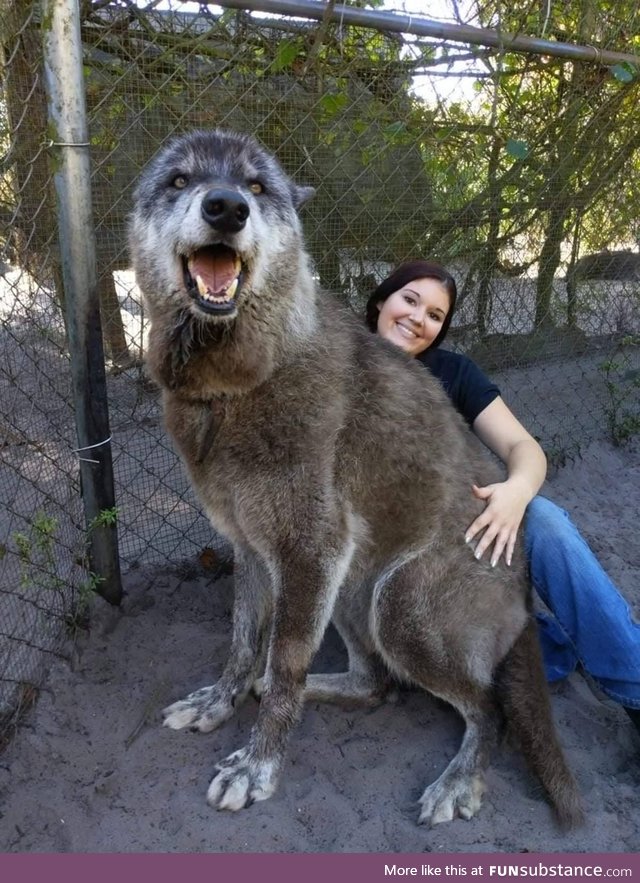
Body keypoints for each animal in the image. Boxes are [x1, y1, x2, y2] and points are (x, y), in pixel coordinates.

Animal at [127, 131, 584, 828]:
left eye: (257, 187)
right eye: (178, 180)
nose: (226, 207)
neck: (236, 383)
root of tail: (525, 594)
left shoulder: (309, 550)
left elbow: (284, 661)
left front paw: (258, 767)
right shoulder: (254, 550)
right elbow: (242, 642)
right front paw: (220, 701)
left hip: (396, 604)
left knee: (489, 709)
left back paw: (458, 781)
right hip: (350, 587)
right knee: (375, 685)